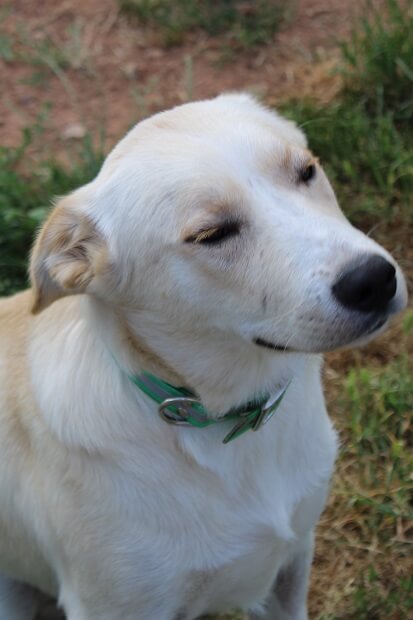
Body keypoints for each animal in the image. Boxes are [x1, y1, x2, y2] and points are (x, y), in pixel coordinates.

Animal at [0, 93, 406, 620]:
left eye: (307, 170)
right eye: (211, 234)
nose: (373, 281)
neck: (228, 423)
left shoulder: (292, 563)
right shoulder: (115, 606)